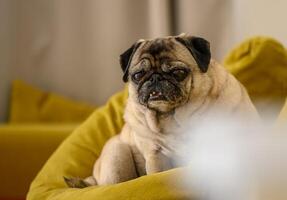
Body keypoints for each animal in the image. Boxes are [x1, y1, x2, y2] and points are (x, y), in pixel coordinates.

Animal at [64, 32, 258, 188]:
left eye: (178, 72)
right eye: (138, 75)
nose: (155, 78)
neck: (175, 119)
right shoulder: (156, 155)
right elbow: (158, 174)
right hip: (117, 155)